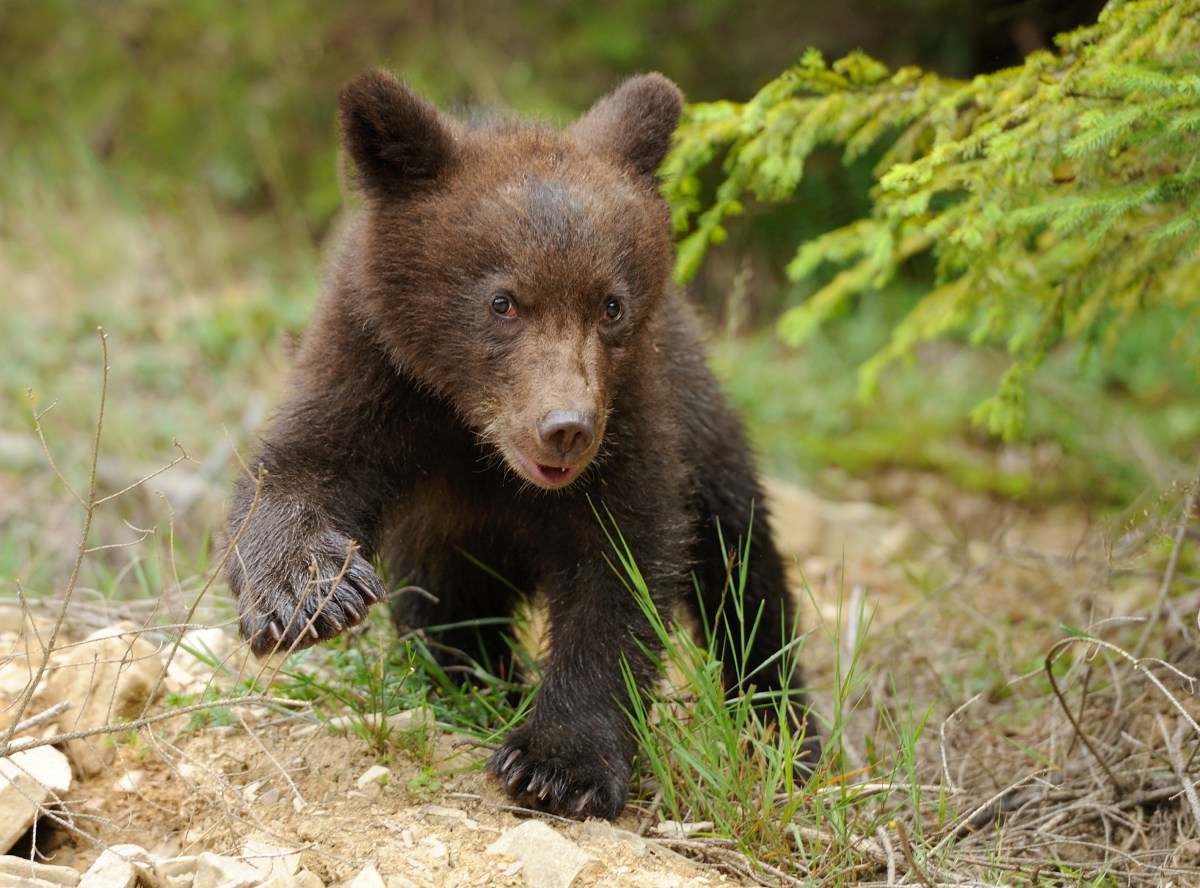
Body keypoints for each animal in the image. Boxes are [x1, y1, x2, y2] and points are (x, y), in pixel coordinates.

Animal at [226, 69, 816, 820]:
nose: (565, 427)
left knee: (741, 575)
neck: (476, 438)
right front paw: (311, 595)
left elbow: (622, 570)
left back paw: (782, 729)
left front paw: (557, 764)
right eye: (502, 301)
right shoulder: (371, 373)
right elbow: (296, 469)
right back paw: (474, 687)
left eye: (611, 304)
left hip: (704, 424)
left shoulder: (633, 417)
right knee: (446, 608)